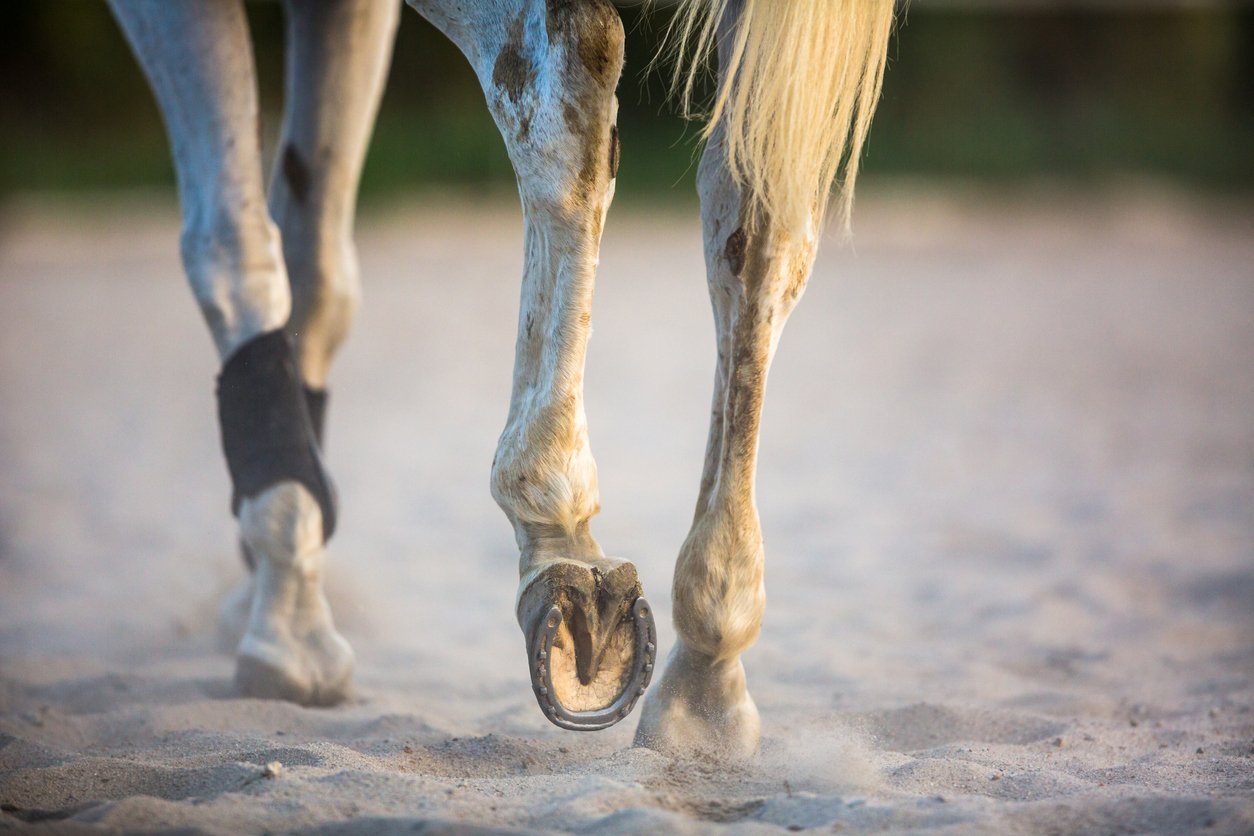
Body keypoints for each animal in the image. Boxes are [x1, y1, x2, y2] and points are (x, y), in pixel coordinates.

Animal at [107, 0, 892, 757]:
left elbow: (233, 244)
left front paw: (285, 616)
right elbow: (311, 264)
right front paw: (279, 573)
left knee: (573, 84)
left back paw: (559, 529)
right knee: (757, 205)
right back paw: (706, 675)